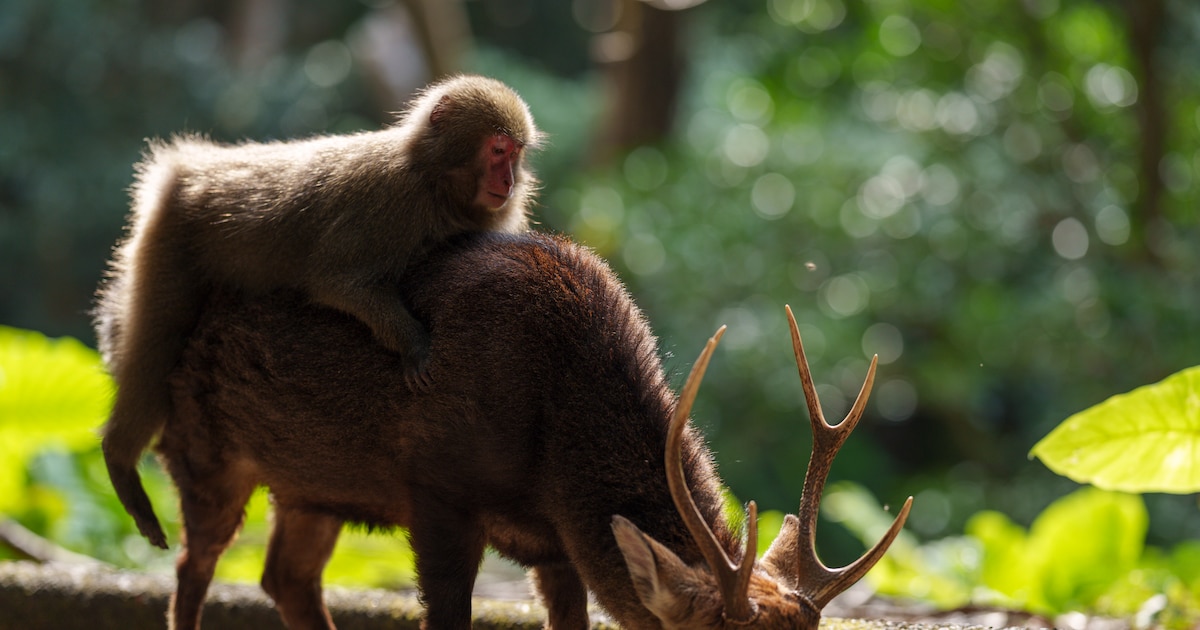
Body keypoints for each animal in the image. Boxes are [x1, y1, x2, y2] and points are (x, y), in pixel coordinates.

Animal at [124, 231, 907, 628]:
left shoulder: (557, 544)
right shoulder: (438, 490)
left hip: (311, 486)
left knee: (284, 578)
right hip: (203, 451)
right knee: (192, 570)